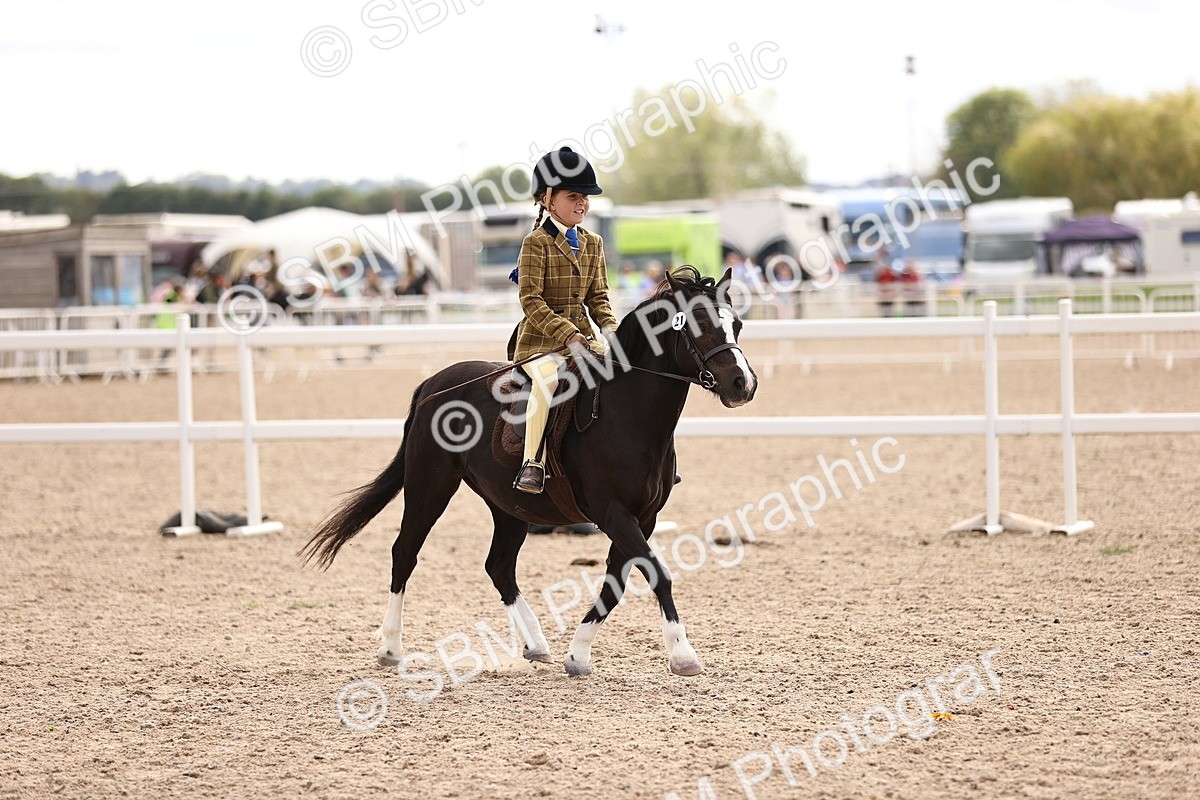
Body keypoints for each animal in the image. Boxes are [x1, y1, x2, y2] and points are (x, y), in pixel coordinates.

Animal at [301, 266, 758, 677]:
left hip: (509, 505)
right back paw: (391, 649)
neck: (627, 414)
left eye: (736, 324)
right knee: (405, 554)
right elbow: (657, 574)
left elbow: (616, 582)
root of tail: (433, 384)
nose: (743, 384)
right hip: (430, 485)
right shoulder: (613, 514)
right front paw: (683, 655)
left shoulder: (642, 517)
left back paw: (536, 644)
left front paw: (578, 654)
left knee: (499, 566)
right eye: (700, 325)